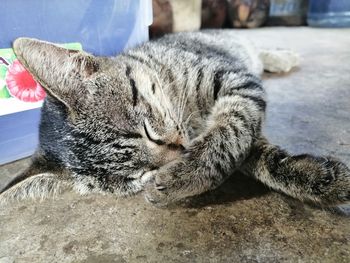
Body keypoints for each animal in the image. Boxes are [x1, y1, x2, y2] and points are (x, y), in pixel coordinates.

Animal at [0, 31, 350, 208]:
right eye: (138, 176)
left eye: (148, 131)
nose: (180, 153)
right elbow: (251, 152)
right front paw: (314, 176)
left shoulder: (235, 82)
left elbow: (230, 132)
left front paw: (189, 173)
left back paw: (281, 56)